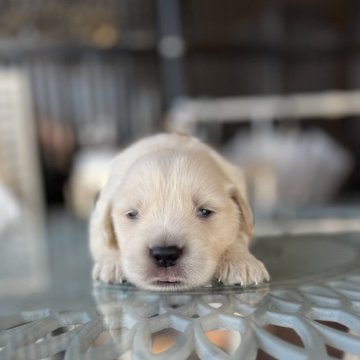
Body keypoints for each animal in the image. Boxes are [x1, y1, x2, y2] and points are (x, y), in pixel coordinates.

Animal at [90, 134, 270, 292]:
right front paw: (113, 263)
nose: (165, 255)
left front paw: (241, 261)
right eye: (132, 214)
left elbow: (237, 236)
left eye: (204, 211)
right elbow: (105, 240)